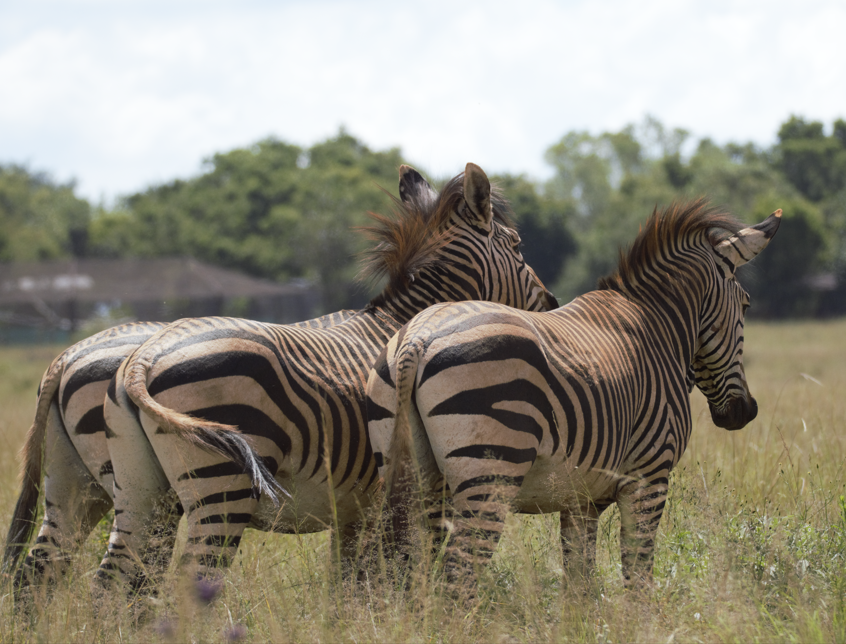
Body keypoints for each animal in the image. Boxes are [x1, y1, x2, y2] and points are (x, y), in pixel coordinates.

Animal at [93, 162, 558, 595]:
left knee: (111, 579)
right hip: (221, 492)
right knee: (187, 585)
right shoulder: (418, 491)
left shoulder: (354, 507)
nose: (553, 303)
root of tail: (144, 358)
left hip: (139, 491)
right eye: (518, 246)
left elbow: (347, 585)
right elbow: (395, 573)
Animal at [368, 201, 781, 595]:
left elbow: (579, 584)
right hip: (488, 477)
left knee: (411, 570)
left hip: (415, 477)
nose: (744, 412)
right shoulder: (649, 478)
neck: (659, 331)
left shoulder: (581, 498)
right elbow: (637, 577)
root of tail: (418, 337)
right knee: (458, 577)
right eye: (746, 305)